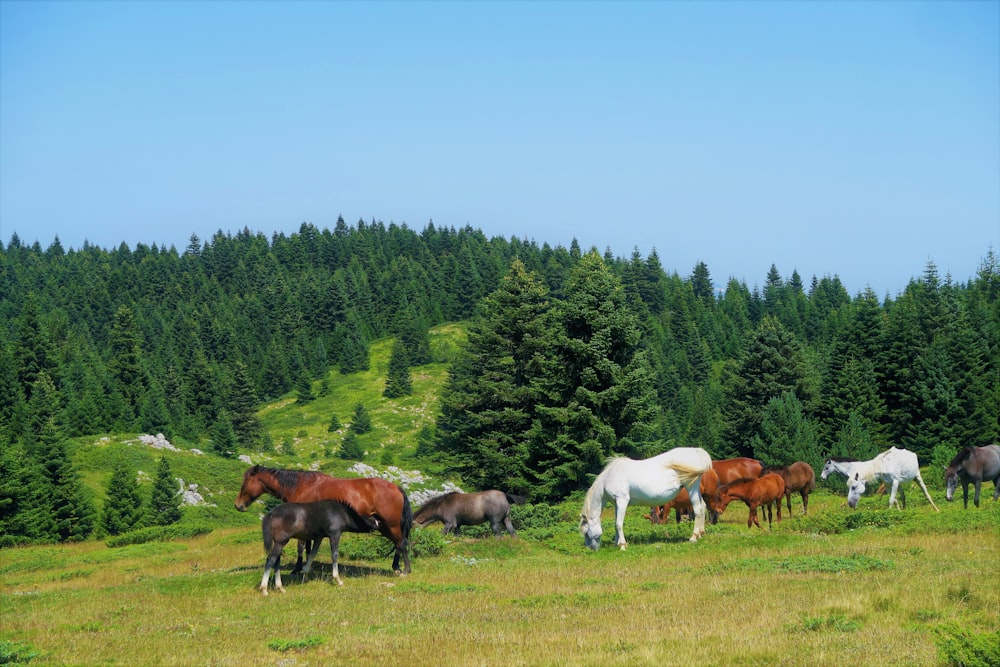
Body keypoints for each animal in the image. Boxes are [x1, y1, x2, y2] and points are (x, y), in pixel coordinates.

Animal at [235, 468, 414, 576]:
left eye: (245, 482)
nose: (238, 505)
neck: (302, 486)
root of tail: (396, 488)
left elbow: (301, 547)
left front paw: (297, 569)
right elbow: (308, 547)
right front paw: (306, 566)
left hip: (391, 525)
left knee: (402, 543)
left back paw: (406, 569)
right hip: (384, 526)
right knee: (398, 544)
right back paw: (396, 567)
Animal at [580, 446, 712, 552]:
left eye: (586, 532)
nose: (591, 549)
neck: (609, 477)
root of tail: (696, 451)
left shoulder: (622, 501)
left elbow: (618, 524)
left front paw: (622, 545)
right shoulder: (617, 504)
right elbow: (616, 523)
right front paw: (616, 543)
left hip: (691, 487)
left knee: (697, 509)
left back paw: (693, 537)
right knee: (702, 507)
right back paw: (701, 533)